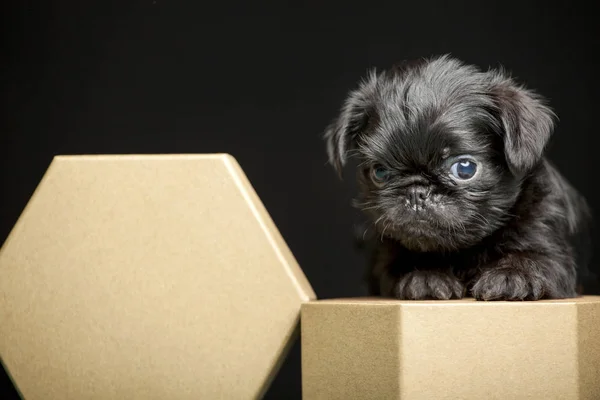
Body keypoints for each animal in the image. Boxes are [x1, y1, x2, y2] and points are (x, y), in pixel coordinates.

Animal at [324, 54, 592, 302]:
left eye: (465, 169)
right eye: (380, 172)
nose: (416, 192)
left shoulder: (551, 245)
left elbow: (538, 258)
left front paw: (513, 275)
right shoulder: (383, 262)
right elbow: (401, 265)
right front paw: (426, 276)